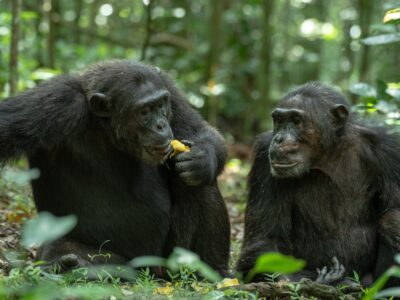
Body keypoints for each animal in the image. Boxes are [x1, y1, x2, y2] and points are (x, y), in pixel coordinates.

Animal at [0, 59, 230, 274]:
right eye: (144, 111)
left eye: (161, 105)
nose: (161, 125)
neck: (105, 128)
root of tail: (150, 270)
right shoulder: (56, 101)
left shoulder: (170, 90)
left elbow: (200, 130)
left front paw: (201, 159)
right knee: (60, 248)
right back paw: (68, 266)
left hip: (168, 258)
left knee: (198, 184)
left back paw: (211, 271)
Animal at [236, 81, 400, 286]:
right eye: (279, 121)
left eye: (296, 120)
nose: (279, 139)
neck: (326, 153)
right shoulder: (263, 158)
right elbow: (263, 239)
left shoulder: (389, 152)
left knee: (392, 220)